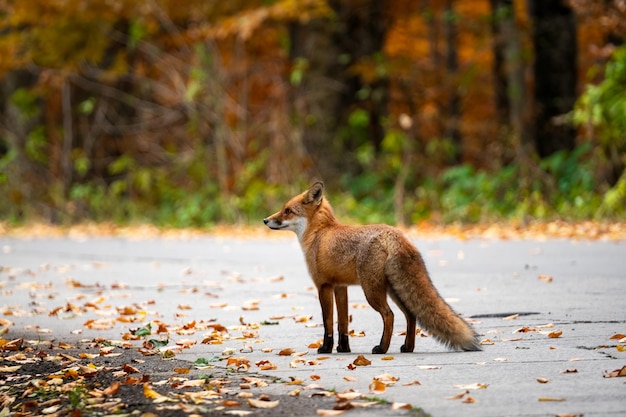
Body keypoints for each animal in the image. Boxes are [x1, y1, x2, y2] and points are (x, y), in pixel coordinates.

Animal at [262, 180, 478, 352]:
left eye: (287, 211)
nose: (265, 220)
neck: (320, 234)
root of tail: (395, 235)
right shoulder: (340, 287)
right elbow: (342, 324)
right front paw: (343, 349)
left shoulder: (323, 286)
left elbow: (328, 323)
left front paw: (325, 348)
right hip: (394, 290)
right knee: (410, 315)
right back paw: (407, 347)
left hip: (372, 292)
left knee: (389, 315)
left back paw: (382, 348)